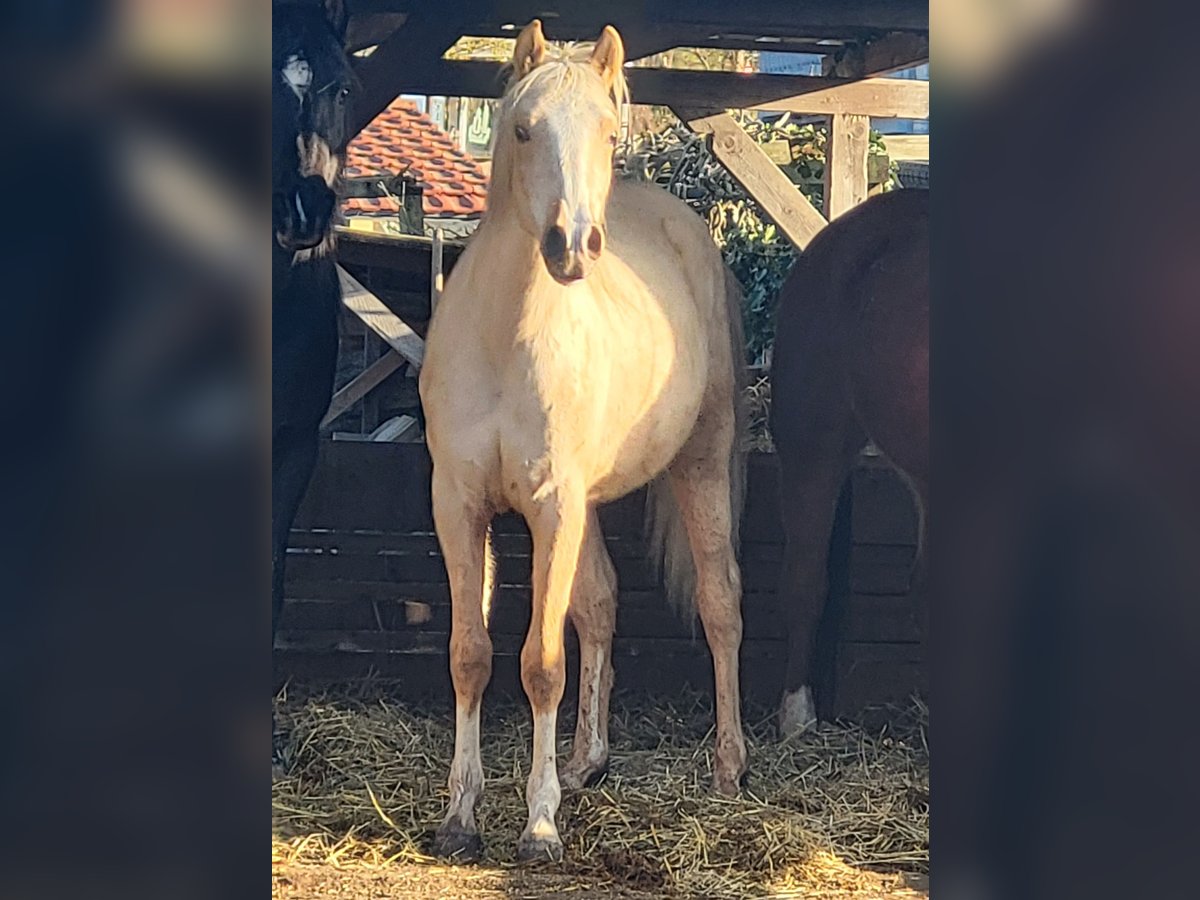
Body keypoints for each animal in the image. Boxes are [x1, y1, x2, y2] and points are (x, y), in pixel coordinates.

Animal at [420, 21, 749, 862]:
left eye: (608, 133)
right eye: (523, 130)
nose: (573, 247)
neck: (506, 339)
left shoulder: (553, 506)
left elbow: (542, 662)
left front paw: (539, 825)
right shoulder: (460, 504)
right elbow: (471, 655)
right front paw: (461, 817)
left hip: (700, 463)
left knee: (720, 603)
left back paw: (730, 767)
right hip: (590, 503)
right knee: (599, 604)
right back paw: (585, 762)